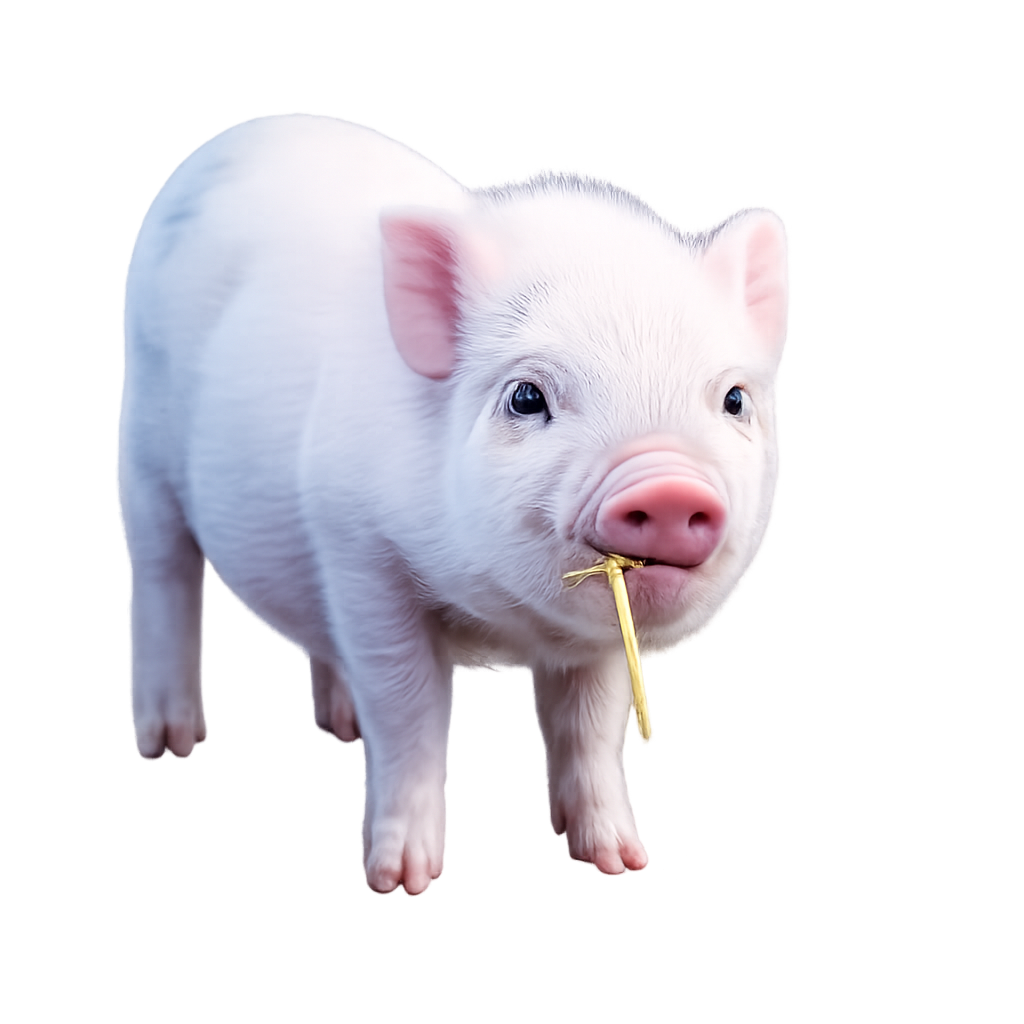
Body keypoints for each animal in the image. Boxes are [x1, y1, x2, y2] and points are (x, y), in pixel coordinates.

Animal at [124, 115, 787, 895]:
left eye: (734, 399)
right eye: (525, 396)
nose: (669, 484)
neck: (506, 623)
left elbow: (589, 723)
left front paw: (620, 861)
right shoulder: (359, 551)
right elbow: (407, 707)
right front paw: (401, 881)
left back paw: (340, 729)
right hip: (143, 447)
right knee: (165, 575)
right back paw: (169, 744)